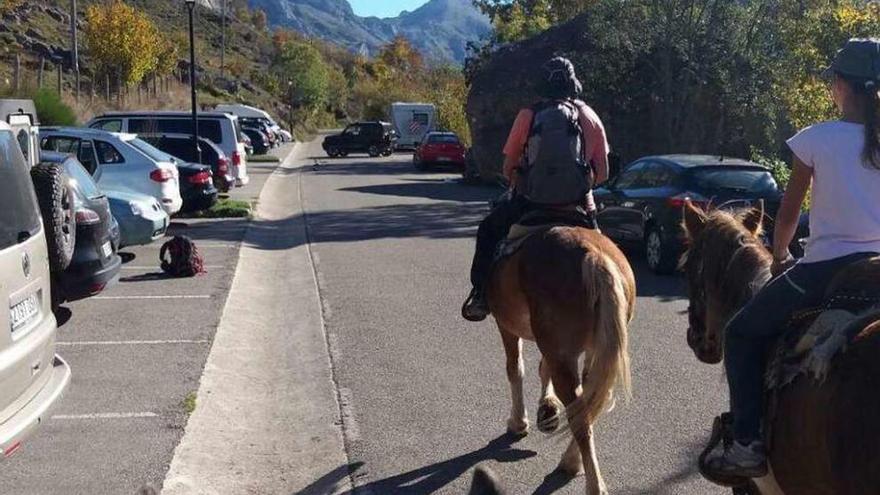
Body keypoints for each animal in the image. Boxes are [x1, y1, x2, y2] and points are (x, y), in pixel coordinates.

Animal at [488, 226, 632, 495]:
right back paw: (571, 460)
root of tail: (595, 255)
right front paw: (547, 408)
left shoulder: (506, 326)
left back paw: (590, 481)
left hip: (562, 352)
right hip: (594, 349)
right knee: (591, 400)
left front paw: (519, 422)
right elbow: (543, 369)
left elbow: (515, 368)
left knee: (580, 417)